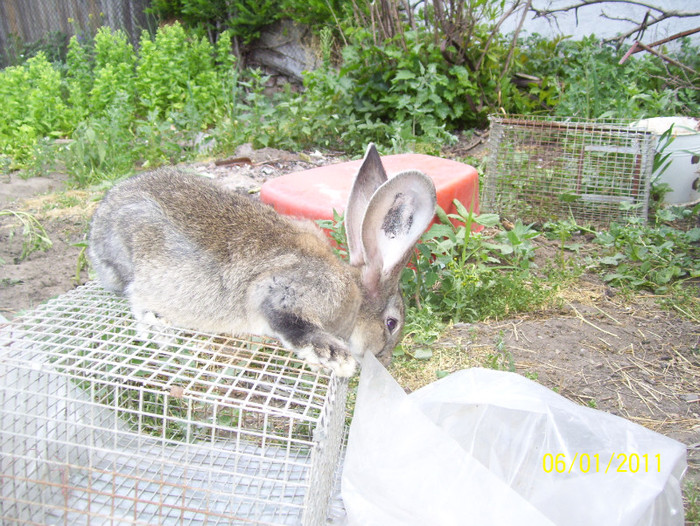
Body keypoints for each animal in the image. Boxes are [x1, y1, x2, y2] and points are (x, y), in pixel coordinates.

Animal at [87, 142, 438, 378]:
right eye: (392, 324)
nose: (385, 360)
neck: (354, 296)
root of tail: (97, 224)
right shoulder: (281, 292)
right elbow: (294, 326)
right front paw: (336, 358)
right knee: (134, 296)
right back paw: (158, 325)